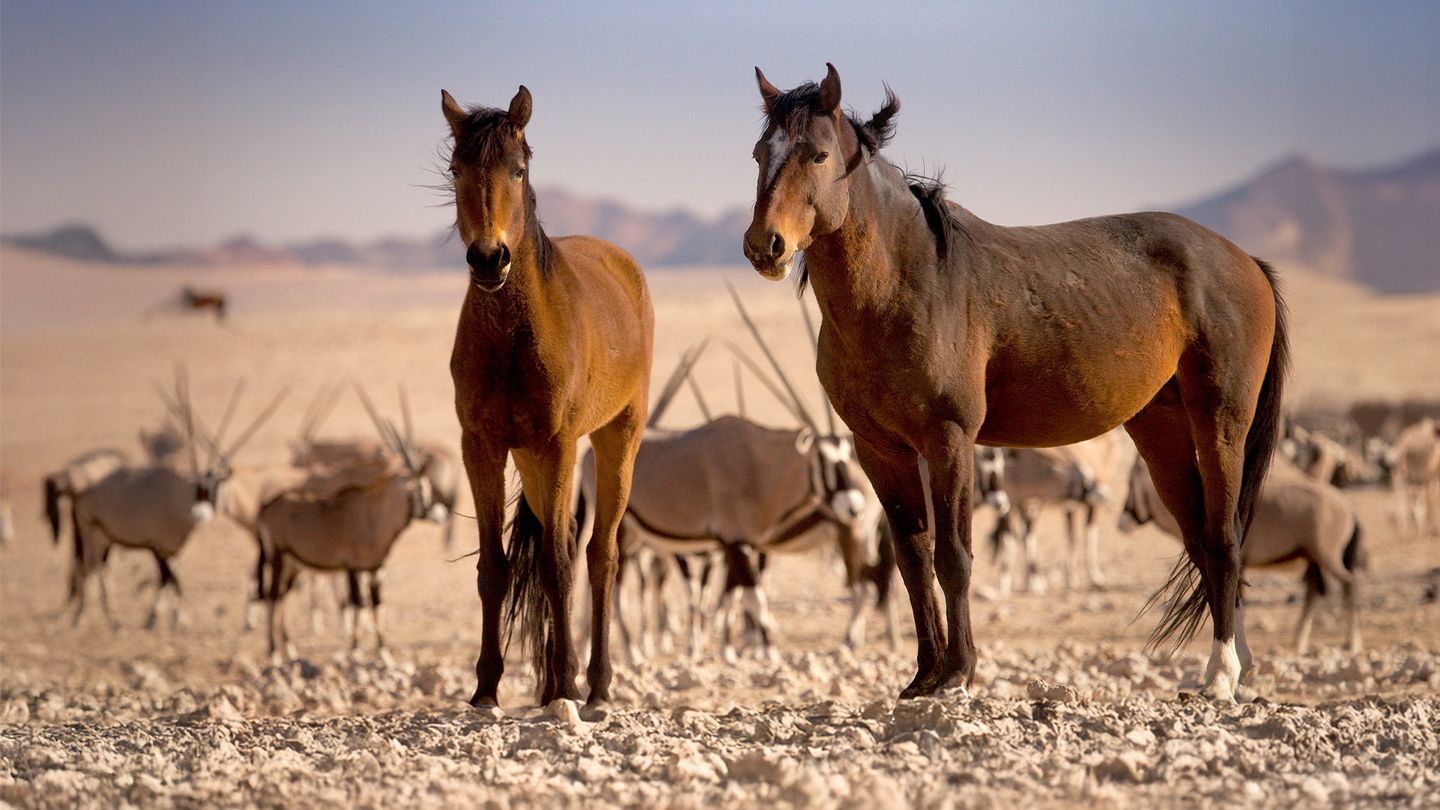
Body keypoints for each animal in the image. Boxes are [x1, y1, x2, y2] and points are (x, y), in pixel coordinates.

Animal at [443, 85, 654, 710]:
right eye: (456, 168)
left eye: (517, 167)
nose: (489, 258)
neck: (513, 335)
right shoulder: (482, 446)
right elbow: (495, 567)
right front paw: (486, 689)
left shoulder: (559, 444)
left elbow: (561, 565)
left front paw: (564, 685)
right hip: (532, 461)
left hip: (615, 439)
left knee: (600, 555)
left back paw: (596, 684)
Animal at [742, 64, 1288, 702]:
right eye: (760, 153)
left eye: (819, 154)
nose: (765, 245)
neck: (907, 282)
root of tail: (1247, 262)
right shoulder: (880, 450)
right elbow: (912, 559)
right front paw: (922, 677)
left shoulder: (949, 440)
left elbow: (954, 556)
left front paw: (957, 674)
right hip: (1161, 432)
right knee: (1201, 539)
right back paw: (1233, 667)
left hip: (1221, 424)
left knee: (1225, 540)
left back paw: (1222, 677)